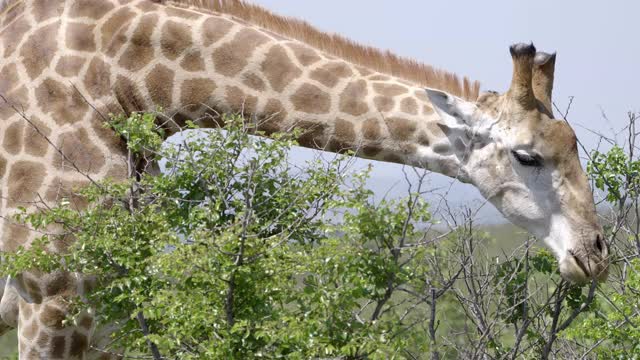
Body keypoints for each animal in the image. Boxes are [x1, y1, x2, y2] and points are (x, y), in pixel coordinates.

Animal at [0, 0, 608, 358]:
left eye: (575, 146)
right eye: (528, 156)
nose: (594, 255)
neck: (128, 87)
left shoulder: (113, 299)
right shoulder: (50, 294)